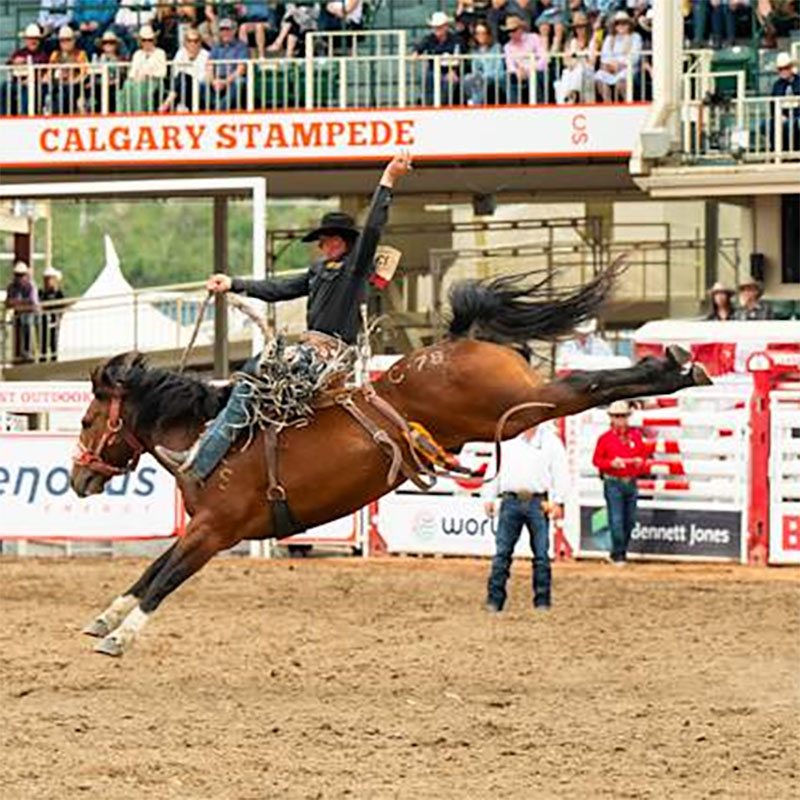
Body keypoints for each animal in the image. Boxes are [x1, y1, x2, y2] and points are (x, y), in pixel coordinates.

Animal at [72, 268, 708, 656]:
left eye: (85, 421)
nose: (78, 477)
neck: (208, 435)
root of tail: (454, 341)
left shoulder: (214, 531)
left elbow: (165, 578)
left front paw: (120, 636)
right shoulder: (202, 530)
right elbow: (153, 569)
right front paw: (105, 617)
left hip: (516, 408)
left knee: (585, 383)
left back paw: (677, 367)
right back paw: (677, 366)